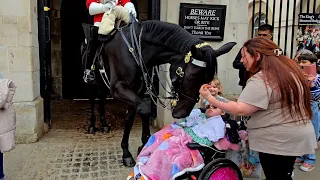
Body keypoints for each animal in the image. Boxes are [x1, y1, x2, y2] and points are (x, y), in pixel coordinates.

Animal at [95, 20, 235, 167]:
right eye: (191, 76)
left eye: (207, 81)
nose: (183, 113)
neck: (135, 49)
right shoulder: (118, 88)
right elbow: (145, 110)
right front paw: (140, 147)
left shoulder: (138, 90)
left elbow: (130, 119)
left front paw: (133, 150)